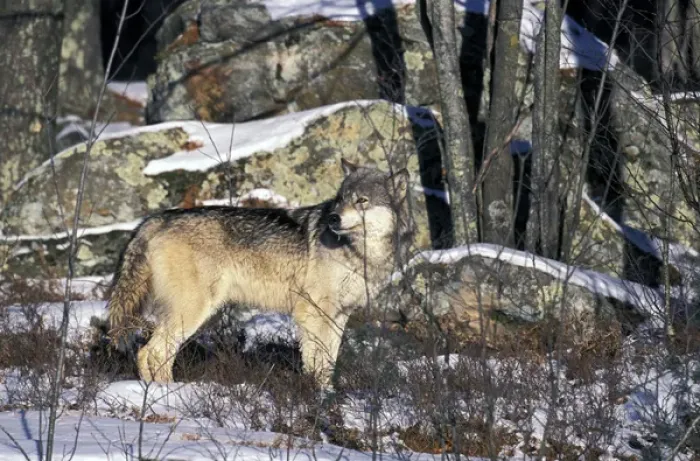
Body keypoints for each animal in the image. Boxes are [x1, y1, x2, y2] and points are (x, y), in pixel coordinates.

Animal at [107, 159, 414, 388]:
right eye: (340, 200)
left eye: (362, 200)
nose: (333, 218)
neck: (358, 252)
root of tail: (157, 218)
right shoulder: (313, 313)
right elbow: (316, 361)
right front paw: (317, 396)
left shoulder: (338, 316)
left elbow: (329, 362)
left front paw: (327, 394)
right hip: (193, 311)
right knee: (151, 352)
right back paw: (170, 394)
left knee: (152, 353)